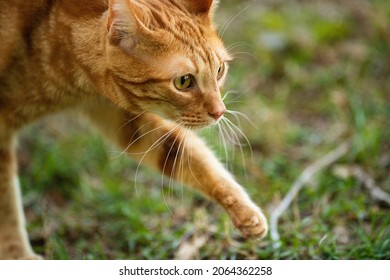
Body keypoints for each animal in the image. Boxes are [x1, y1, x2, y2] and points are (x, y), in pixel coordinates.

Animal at [0, 0, 268, 260]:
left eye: (219, 70)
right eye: (183, 81)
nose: (220, 112)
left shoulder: (117, 112)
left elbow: (184, 154)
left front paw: (244, 210)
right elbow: (7, 202)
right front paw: (18, 255)